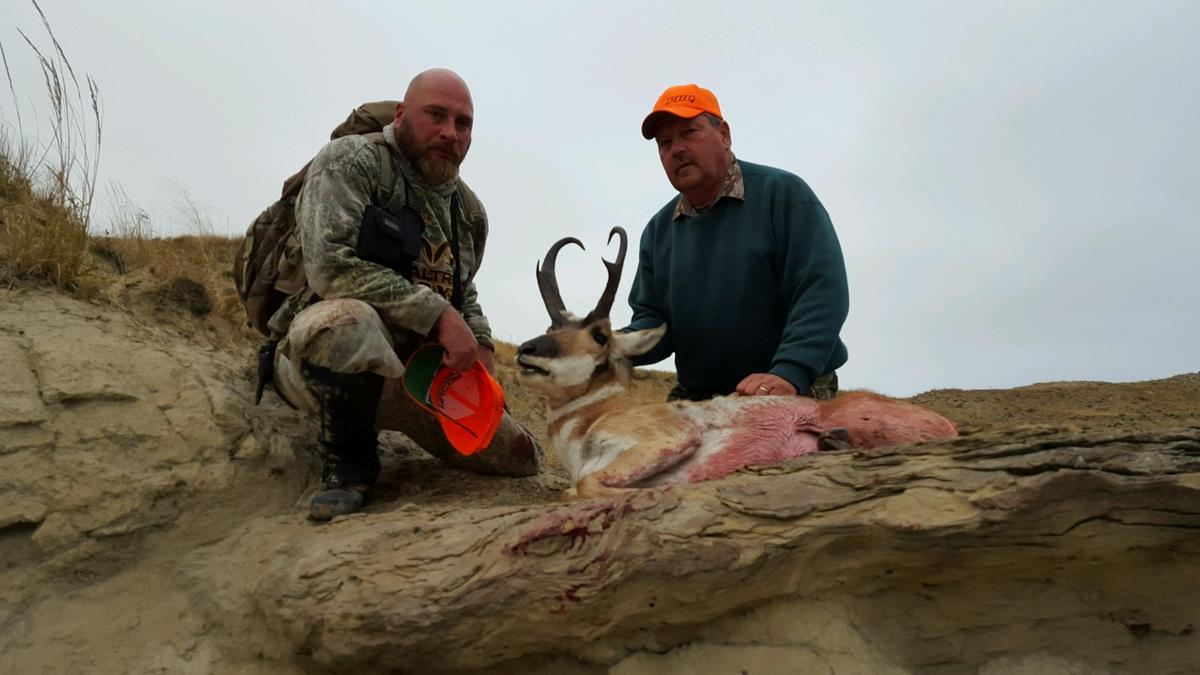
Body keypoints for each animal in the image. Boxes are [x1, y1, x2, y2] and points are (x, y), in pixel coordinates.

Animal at [516, 228, 955, 497]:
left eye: (600, 335)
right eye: (552, 325)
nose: (527, 349)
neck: (594, 418)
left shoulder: (667, 440)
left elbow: (581, 487)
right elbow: (574, 487)